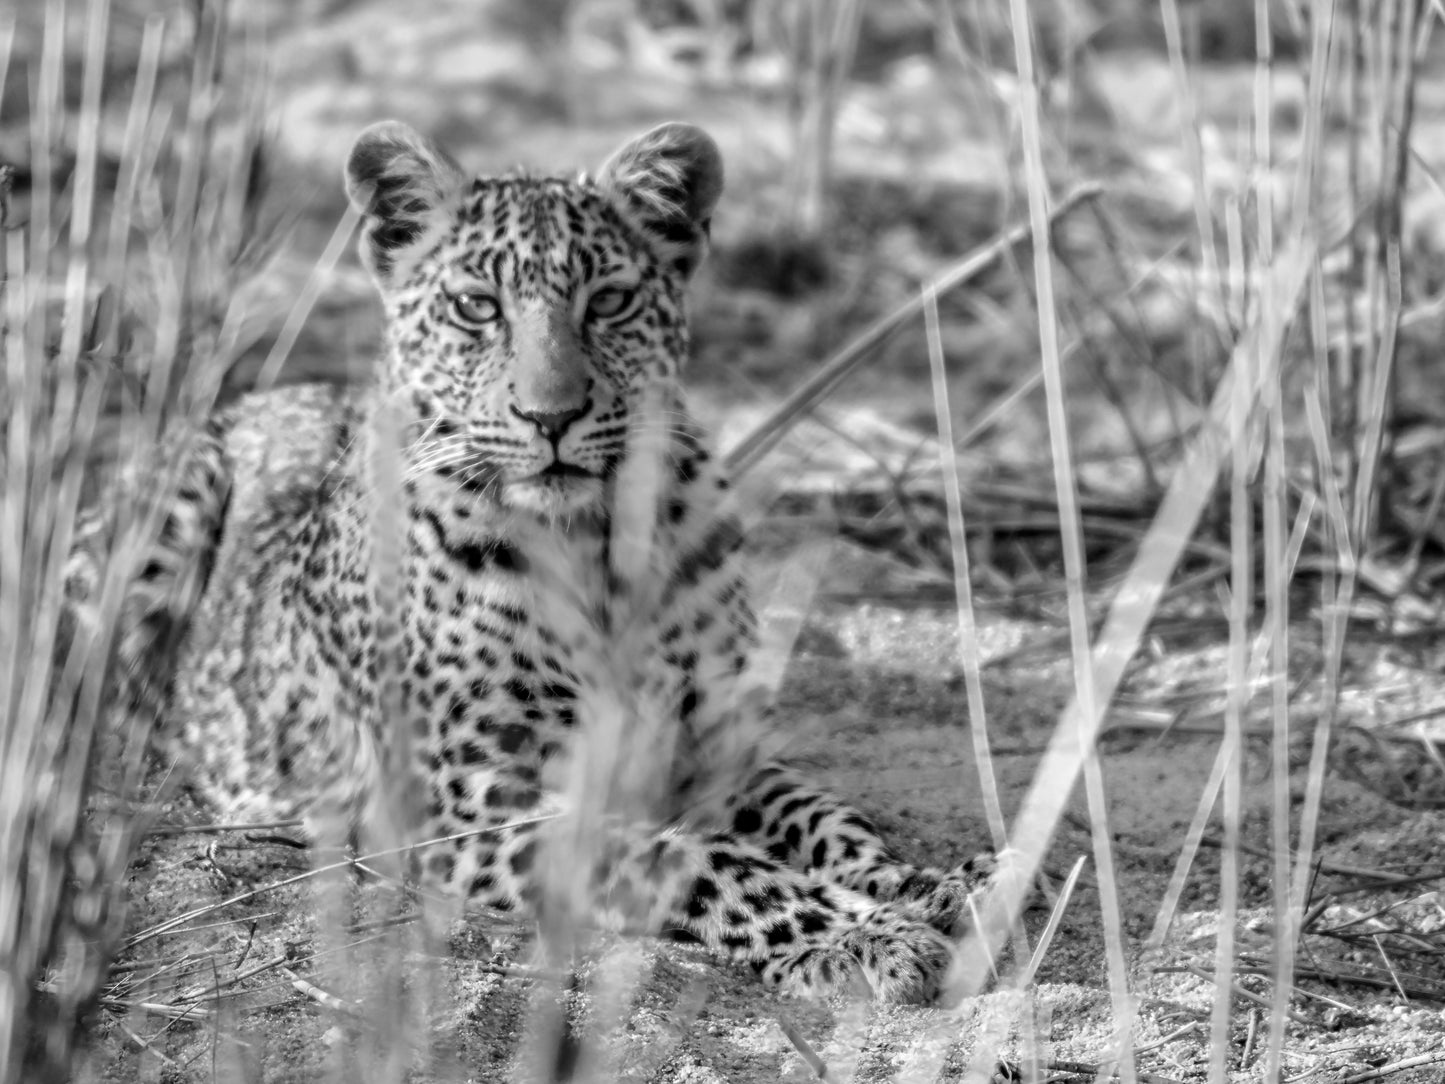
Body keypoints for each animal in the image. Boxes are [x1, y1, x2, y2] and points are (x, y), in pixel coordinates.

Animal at [65, 120, 1000, 1005]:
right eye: (477, 307)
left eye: (610, 301)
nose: (550, 416)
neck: (596, 549)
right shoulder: (475, 802)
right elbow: (699, 862)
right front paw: (861, 937)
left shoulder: (715, 752)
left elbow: (828, 820)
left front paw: (928, 884)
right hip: (171, 504)